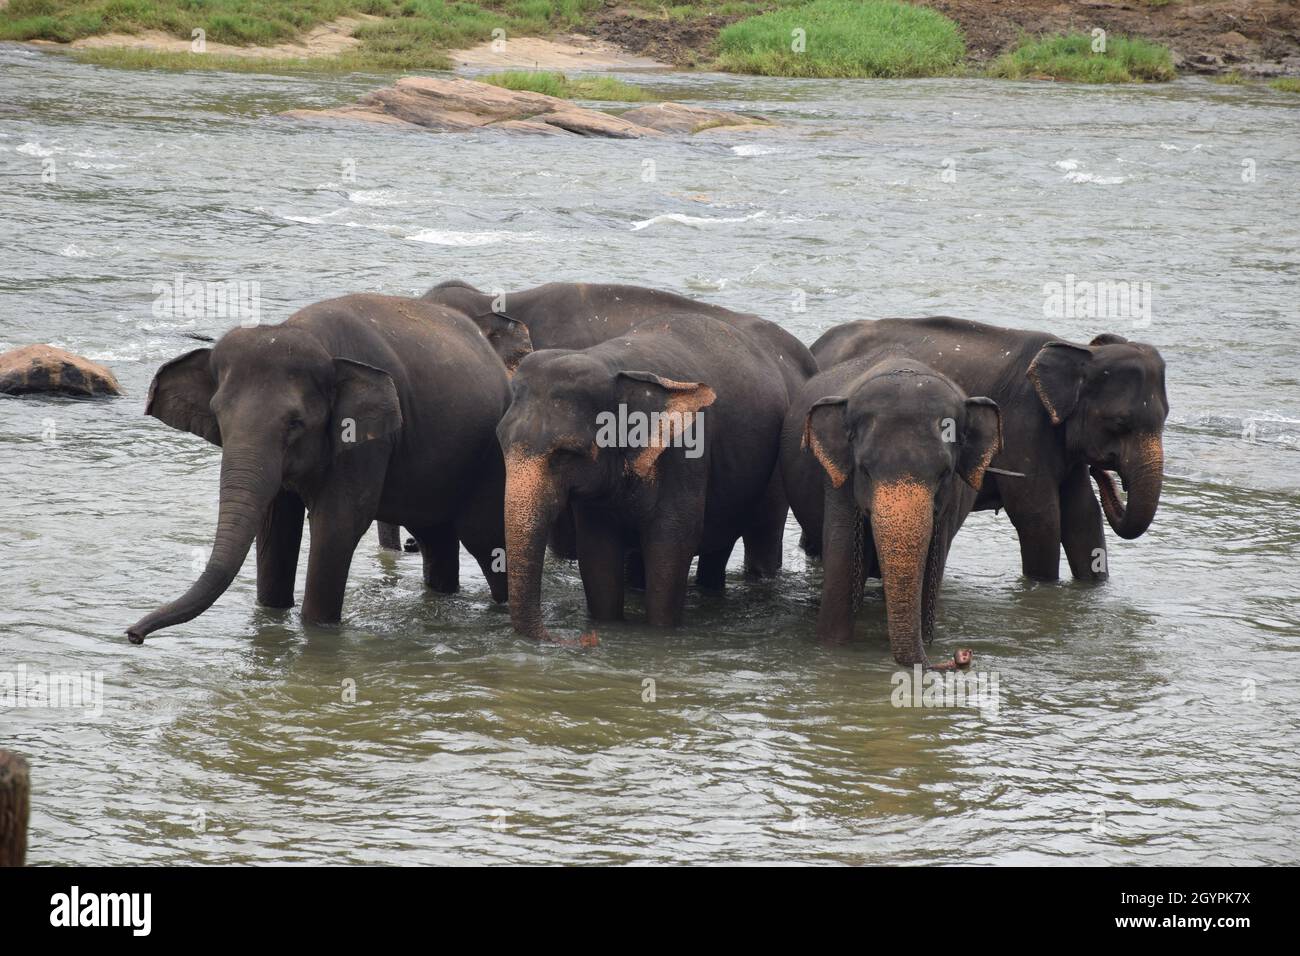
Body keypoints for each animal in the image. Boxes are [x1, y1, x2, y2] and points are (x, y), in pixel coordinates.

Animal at [122, 295, 506, 647]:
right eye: (218, 415)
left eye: (295, 423)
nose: (133, 634)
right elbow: (275, 524)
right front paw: (273, 616)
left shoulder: (366, 438)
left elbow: (338, 522)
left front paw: (316, 630)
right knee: (435, 537)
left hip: (489, 459)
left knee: (484, 540)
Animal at [501, 314, 790, 642]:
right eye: (500, 441)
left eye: (566, 453)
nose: (579, 639)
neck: (611, 364)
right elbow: (597, 550)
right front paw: (609, 626)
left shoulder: (685, 455)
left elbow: (672, 544)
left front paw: (659, 634)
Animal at [780, 348, 1003, 671]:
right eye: (865, 470)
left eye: (944, 474)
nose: (963, 656)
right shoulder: (837, 483)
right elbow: (843, 564)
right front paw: (834, 650)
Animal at [811, 317, 1170, 580]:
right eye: (1120, 423)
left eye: (1166, 417)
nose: (1103, 472)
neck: (1078, 350)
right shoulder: (1022, 425)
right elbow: (1039, 516)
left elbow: (1083, 514)